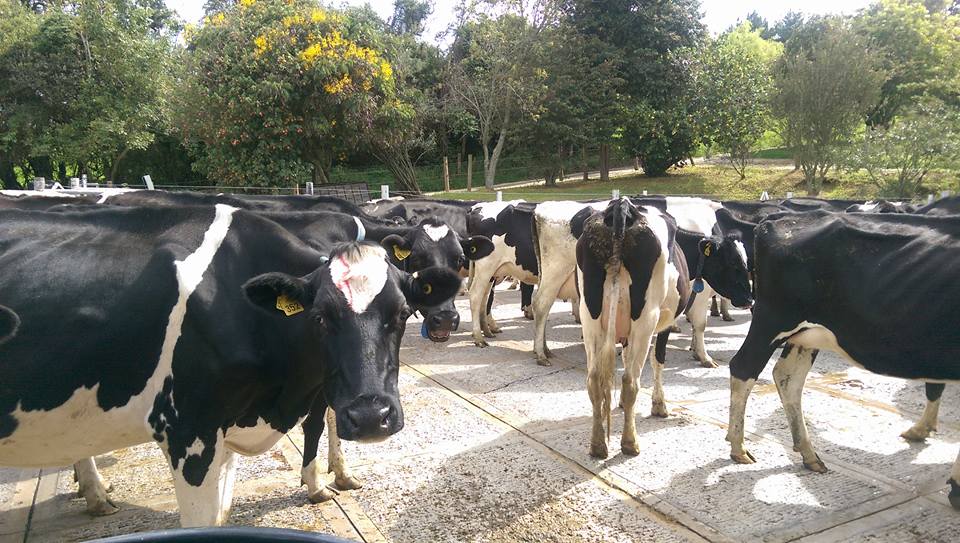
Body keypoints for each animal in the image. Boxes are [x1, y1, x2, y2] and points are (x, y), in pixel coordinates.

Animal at [0, 205, 461, 526]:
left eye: (401, 312)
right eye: (319, 318)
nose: (370, 417)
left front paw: (333, 477)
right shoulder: (189, 432)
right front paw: (319, 483)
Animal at [576, 198, 681, 458]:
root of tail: (622, 206)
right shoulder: (664, 323)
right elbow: (658, 360)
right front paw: (660, 405)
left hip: (589, 312)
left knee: (594, 379)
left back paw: (597, 445)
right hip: (645, 318)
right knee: (630, 381)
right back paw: (630, 443)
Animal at [725, 210, 960, 509]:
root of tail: (781, 217)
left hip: (806, 334)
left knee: (787, 376)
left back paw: (809, 454)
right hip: (774, 318)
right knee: (744, 368)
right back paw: (738, 448)